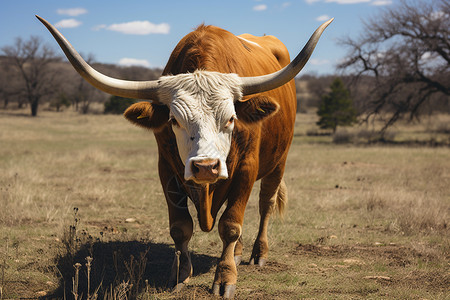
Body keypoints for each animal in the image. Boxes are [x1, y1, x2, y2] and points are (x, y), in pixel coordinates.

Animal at [37, 15, 332, 298]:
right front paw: (180, 274)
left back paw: (258, 253)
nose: (206, 167)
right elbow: (180, 226)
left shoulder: (246, 169)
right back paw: (238, 253)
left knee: (265, 205)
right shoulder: (166, 169)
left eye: (231, 118)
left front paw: (225, 277)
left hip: (278, 163)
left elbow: (231, 225)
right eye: (174, 120)